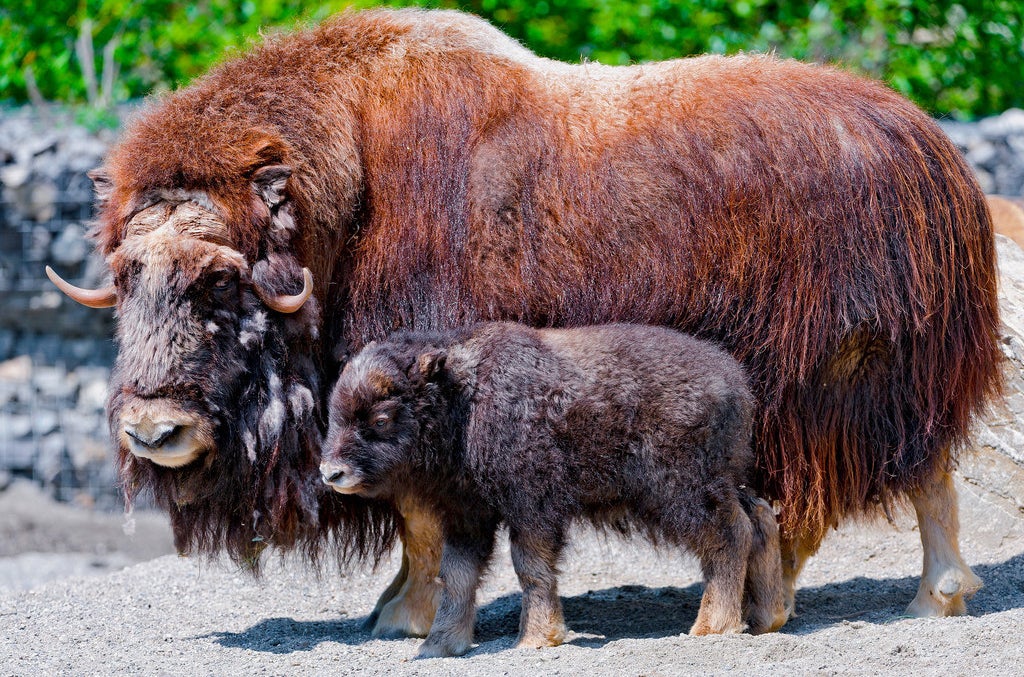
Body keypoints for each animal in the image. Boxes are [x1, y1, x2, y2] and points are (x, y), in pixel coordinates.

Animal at [319, 321, 782, 655]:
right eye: (334, 412)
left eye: (381, 418)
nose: (331, 472)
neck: (465, 400)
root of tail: (734, 384)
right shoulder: (467, 515)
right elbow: (456, 576)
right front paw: (440, 645)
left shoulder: (532, 508)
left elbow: (530, 567)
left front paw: (536, 639)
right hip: (724, 483)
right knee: (760, 517)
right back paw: (766, 618)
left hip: (682, 493)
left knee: (729, 535)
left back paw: (711, 627)